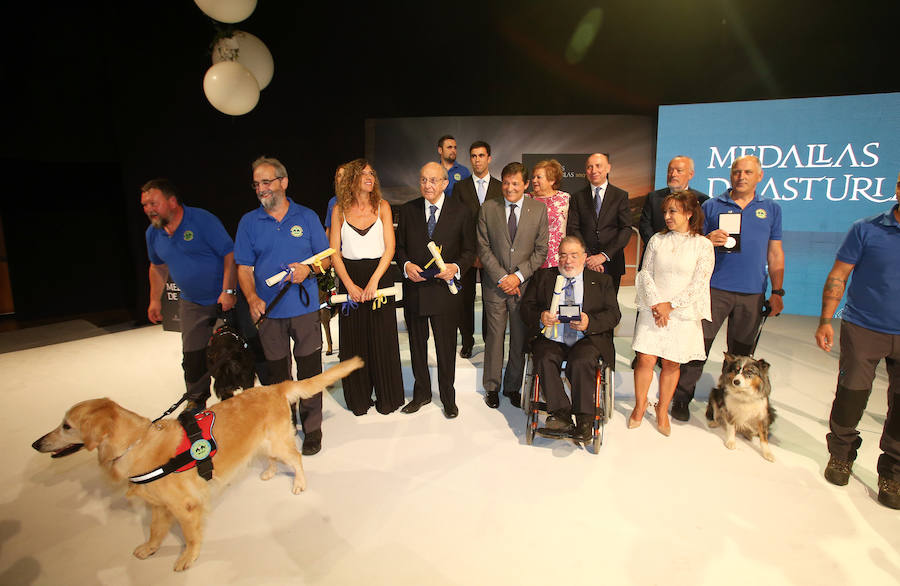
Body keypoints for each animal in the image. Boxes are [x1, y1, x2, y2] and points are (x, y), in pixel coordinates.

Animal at [32, 354, 362, 568]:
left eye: (66, 426)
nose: (36, 443)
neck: (137, 444)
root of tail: (273, 386)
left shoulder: (185, 507)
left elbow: (190, 536)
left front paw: (186, 558)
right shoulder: (158, 506)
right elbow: (154, 531)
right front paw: (148, 549)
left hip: (280, 441)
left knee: (294, 457)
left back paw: (299, 483)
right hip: (264, 442)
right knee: (271, 458)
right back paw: (268, 472)